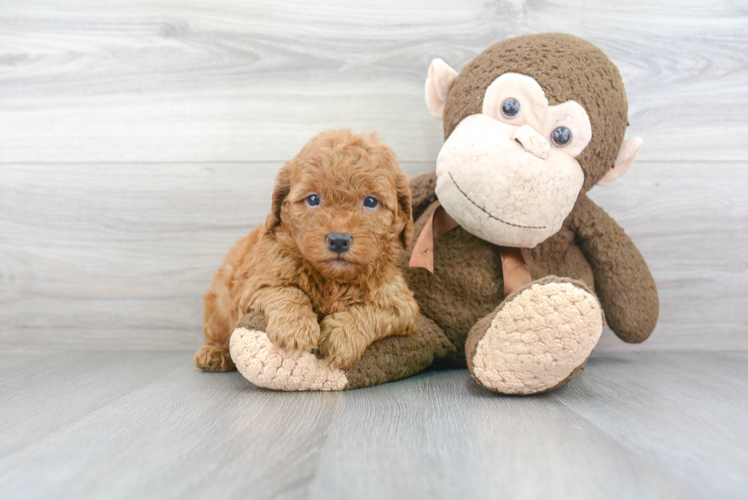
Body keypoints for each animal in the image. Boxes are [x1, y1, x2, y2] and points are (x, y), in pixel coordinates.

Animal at [196, 129, 418, 372]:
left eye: (370, 201)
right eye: (313, 199)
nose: (338, 240)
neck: (333, 280)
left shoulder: (401, 303)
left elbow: (372, 310)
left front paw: (342, 335)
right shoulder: (257, 283)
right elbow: (286, 291)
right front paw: (295, 329)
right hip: (219, 304)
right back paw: (214, 354)